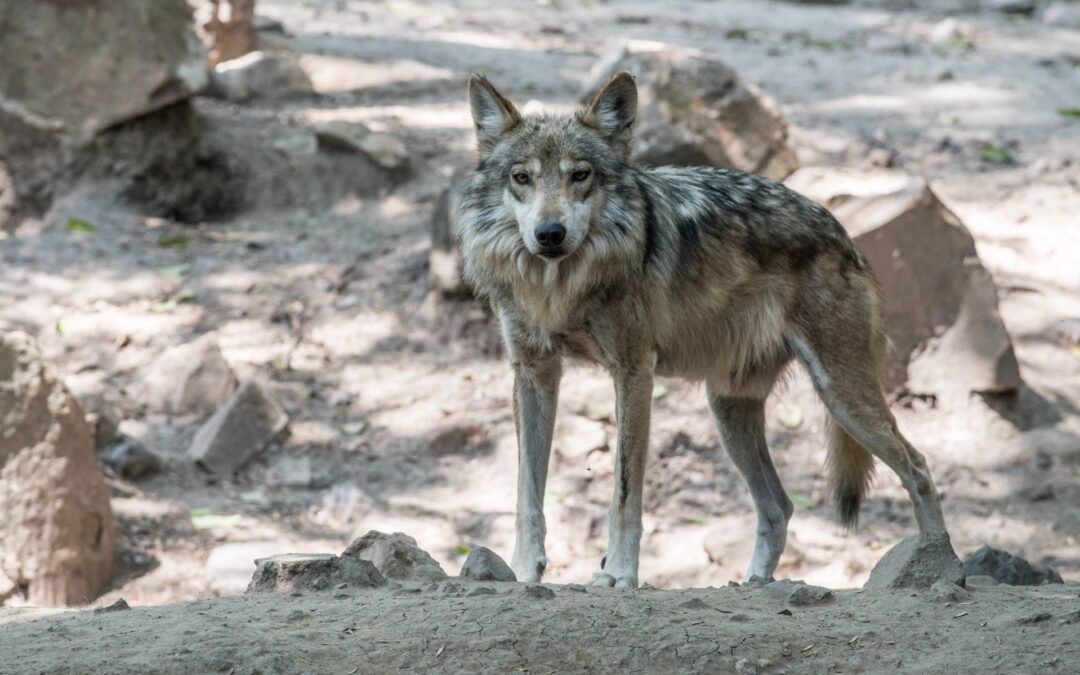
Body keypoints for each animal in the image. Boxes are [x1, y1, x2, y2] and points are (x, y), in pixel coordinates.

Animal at [455, 70, 960, 587]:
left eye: (581, 175)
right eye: (522, 177)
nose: (550, 234)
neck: (559, 288)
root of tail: (844, 235)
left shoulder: (634, 372)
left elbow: (624, 493)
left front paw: (619, 575)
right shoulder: (533, 374)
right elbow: (527, 491)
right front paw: (523, 570)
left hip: (843, 398)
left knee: (919, 468)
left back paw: (940, 564)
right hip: (729, 409)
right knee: (778, 507)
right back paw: (755, 584)